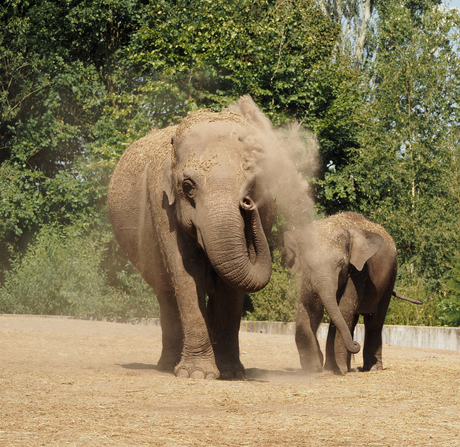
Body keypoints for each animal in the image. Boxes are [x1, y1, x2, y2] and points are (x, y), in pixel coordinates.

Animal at [109, 96, 274, 380]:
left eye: (253, 185)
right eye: (187, 187)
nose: (247, 202)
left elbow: (231, 287)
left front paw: (230, 374)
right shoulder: (162, 203)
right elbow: (186, 272)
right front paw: (197, 375)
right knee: (166, 294)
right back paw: (167, 366)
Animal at [284, 213, 402, 374]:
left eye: (341, 263)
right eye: (306, 263)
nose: (356, 343)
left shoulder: (359, 270)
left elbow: (344, 309)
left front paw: (337, 369)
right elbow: (309, 307)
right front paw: (313, 368)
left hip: (390, 277)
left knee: (374, 321)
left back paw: (371, 368)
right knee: (354, 321)